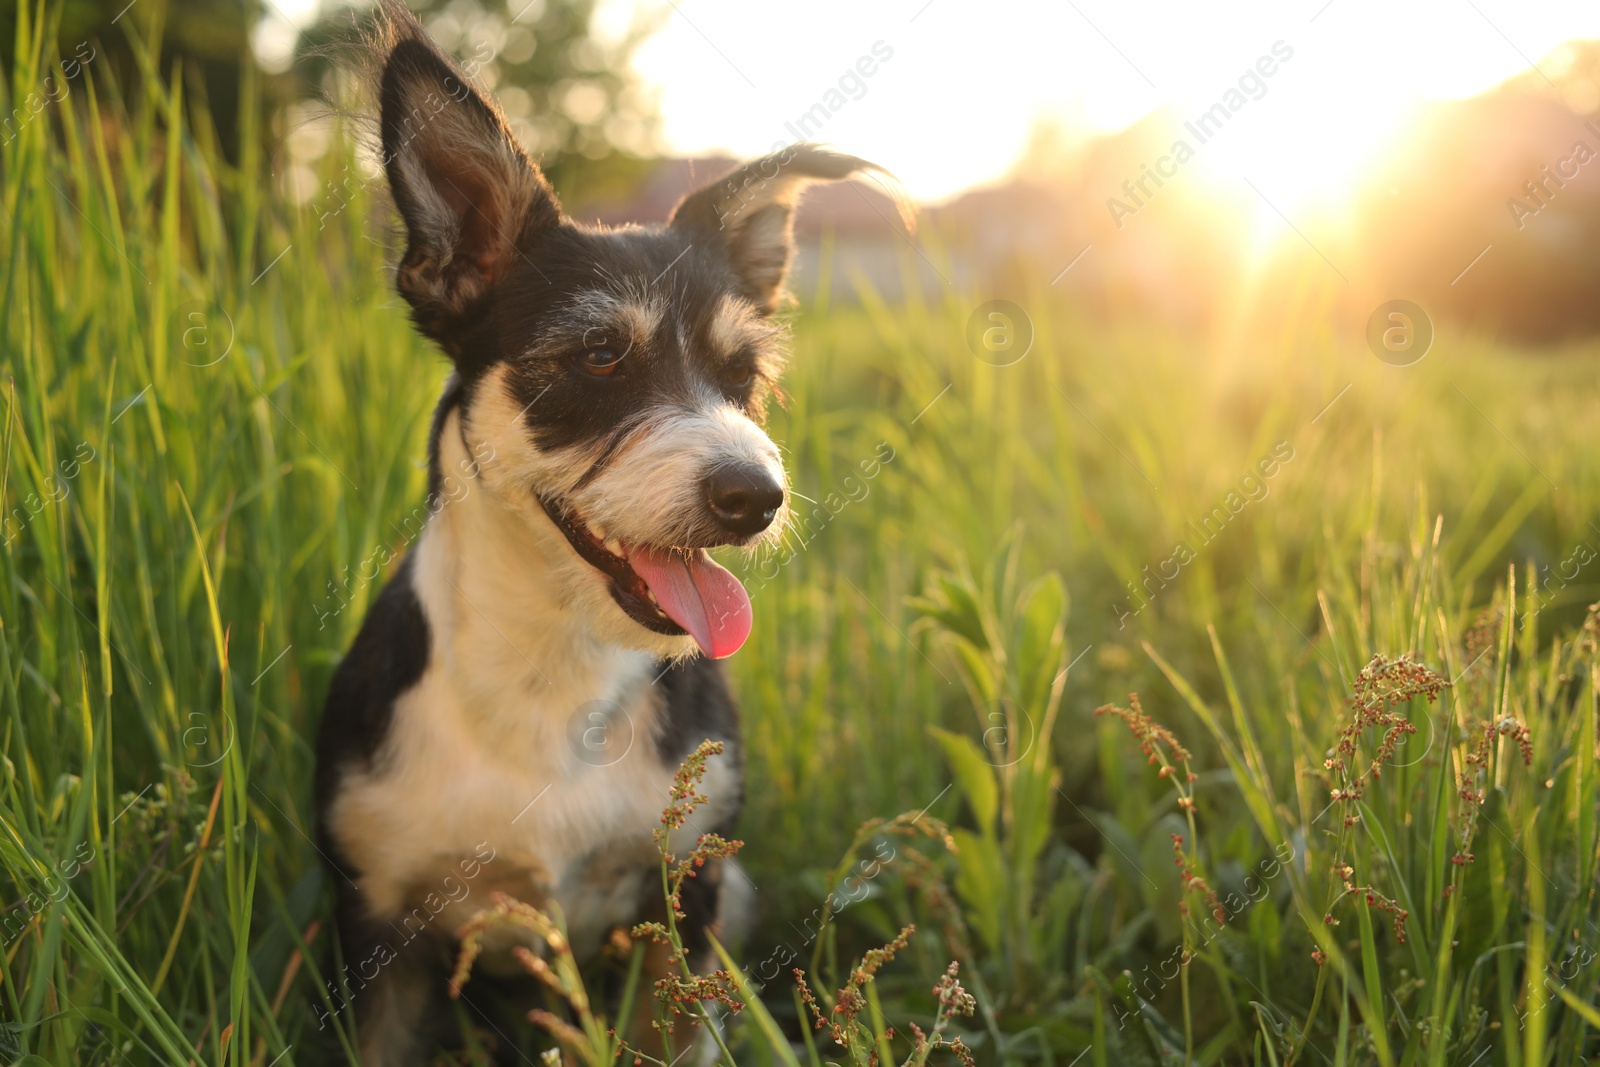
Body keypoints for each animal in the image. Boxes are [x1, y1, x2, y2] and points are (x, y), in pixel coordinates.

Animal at [312, 2, 889, 1067]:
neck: (552, 668)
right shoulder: (375, 927)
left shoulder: (688, 895)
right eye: (598, 355)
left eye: (742, 376)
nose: (757, 495)